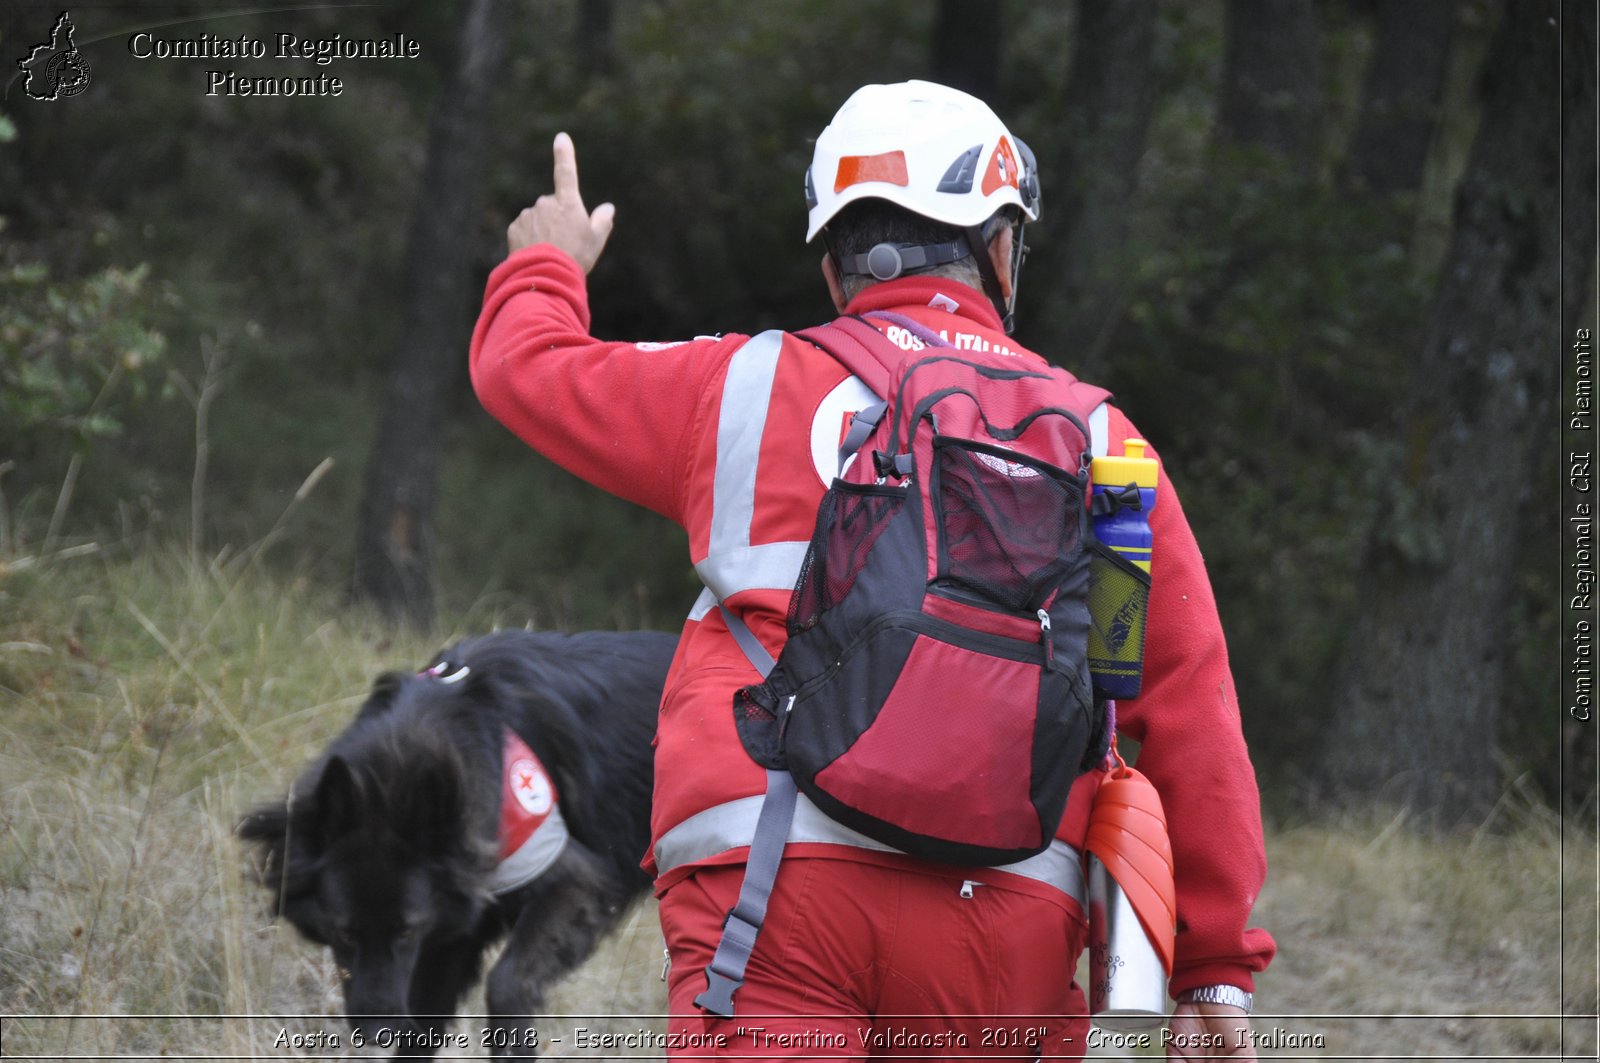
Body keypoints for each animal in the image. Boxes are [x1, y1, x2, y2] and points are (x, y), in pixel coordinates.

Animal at [238, 630, 675, 1056]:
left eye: (405, 931)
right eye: (345, 932)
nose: (379, 1032)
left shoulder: (577, 883)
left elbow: (506, 984)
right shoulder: (451, 929)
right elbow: (424, 1018)